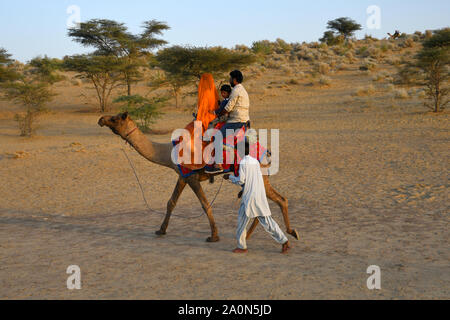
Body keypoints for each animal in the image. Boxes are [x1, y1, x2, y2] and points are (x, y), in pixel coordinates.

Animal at [98, 112, 298, 242]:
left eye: (115, 118)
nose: (101, 119)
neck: (168, 152)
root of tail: (266, 152)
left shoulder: (192, 178)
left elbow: (205, 204)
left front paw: (214, 236)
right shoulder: (182, 176)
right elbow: (171, 202)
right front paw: (160, 230)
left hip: (258, 176)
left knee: (277, 199)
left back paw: (286, 232)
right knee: (269, 200)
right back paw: (257, 234)